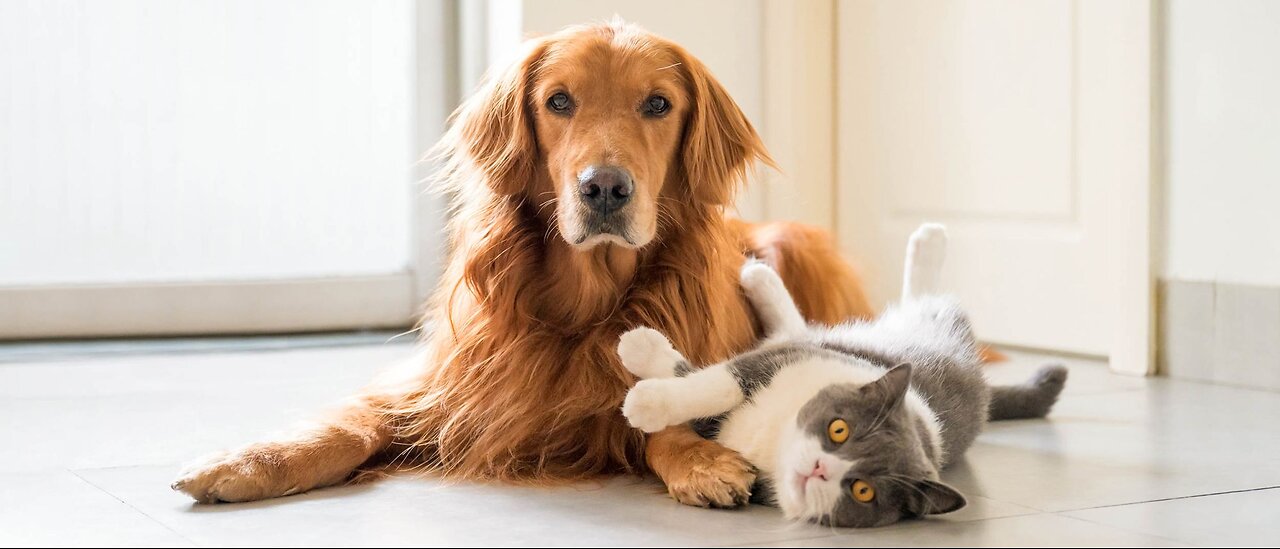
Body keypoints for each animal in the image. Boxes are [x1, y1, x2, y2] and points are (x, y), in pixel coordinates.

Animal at [172, 19, 870, 506]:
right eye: (559, 102)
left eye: (658, 105)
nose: (605, 188)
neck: (586, 302)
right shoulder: (442, 385)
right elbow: (350, 422)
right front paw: (249, 461)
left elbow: (662, 410)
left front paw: (699, 459)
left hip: (794, 241)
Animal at [614, 222, 1064, 527]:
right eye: (839, 429)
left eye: (863, 490)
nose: (819, 468)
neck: (774, 437)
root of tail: (980, 381)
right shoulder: (785, 359)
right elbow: (717, 381)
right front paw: (642, 357)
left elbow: (705, 380)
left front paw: (645, 397)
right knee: (910, 299)